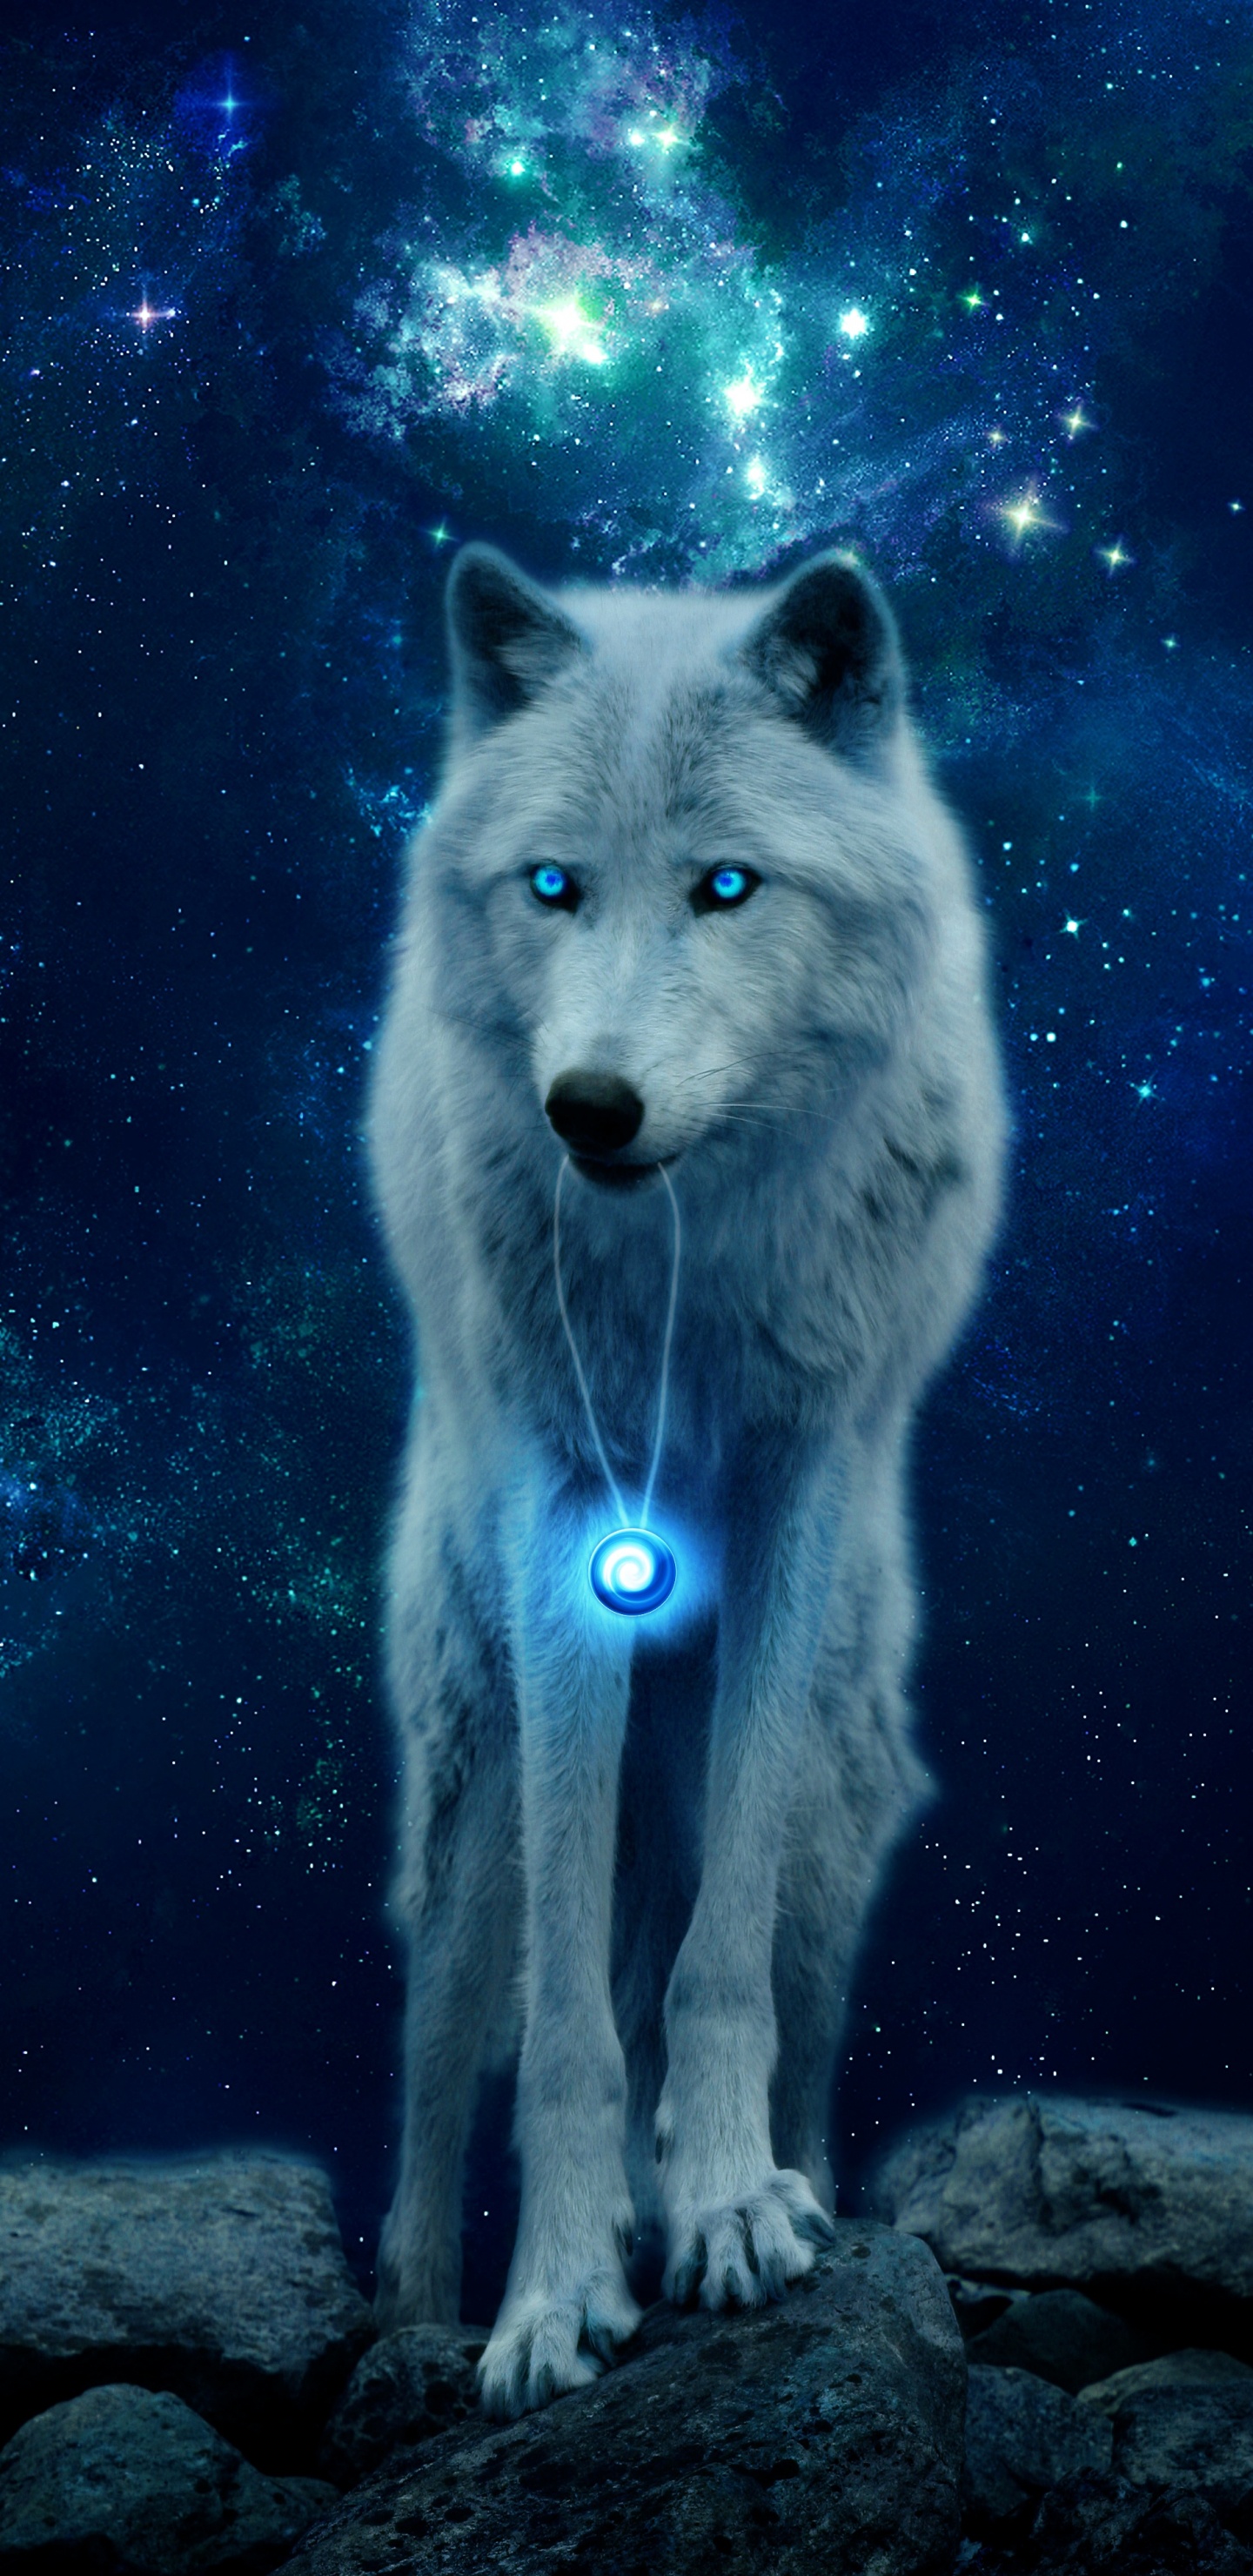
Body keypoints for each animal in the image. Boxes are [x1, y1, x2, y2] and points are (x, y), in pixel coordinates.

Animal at [367, 542, 1007, 2419]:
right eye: (553, 886)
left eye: (730, 886)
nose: (589, 1105)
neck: (683, 1261)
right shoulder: (572, 1523)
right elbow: (567, 2036)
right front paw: (552, 2297)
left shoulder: (796, 1493)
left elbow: (712, 1981)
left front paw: (726, 2208)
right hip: (472, 1769)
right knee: (441, 2059)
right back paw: (415, 2314)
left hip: (840, 1799)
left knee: (766, 1989)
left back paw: (768, 2185)